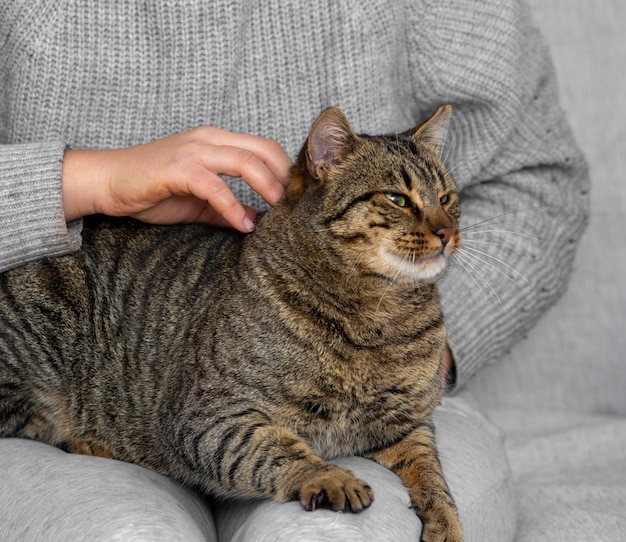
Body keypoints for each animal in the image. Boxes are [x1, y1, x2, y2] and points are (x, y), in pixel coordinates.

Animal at [1, 107, 464, 542]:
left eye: (446, 197)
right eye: (397, 198)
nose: (447, 231)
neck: (379, 318)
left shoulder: (407, 425)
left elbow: (431, 471)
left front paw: (445, 519)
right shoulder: (208, 417)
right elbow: (270, 449)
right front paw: (325, 475)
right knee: (30, 425)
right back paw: (90, 441)